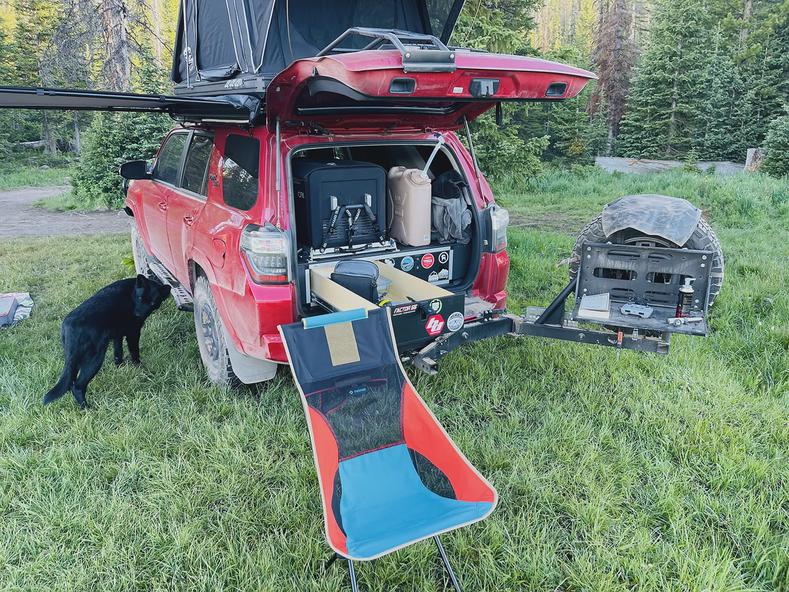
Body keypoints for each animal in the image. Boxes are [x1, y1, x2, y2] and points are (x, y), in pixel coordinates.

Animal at [43, 276, 170, 408]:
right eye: (140, 298)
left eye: (152, 303)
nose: (138, 314)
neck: (131, 293)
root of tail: (70, 327)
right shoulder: (133, 333)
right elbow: (135, 353)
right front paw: (141, 369)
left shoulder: (118, 335)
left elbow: (118, 353)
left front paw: (120, 368)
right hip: (95, 360)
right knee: (77, 386)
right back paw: (87, 408)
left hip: (75, 362)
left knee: (70, 383)